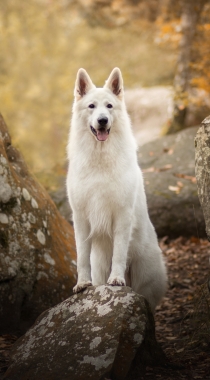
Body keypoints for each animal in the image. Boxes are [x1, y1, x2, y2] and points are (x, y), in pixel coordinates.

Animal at [67, 67, 167, 312]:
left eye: (109, 106)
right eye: (92, 106)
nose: (102, 120)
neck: (100, 158)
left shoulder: (122, 216)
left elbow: (119, 253)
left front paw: (117, 280)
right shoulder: (80, 218)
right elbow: (81, 257)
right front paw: (82, 284)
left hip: (144, 278)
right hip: (100, 265)